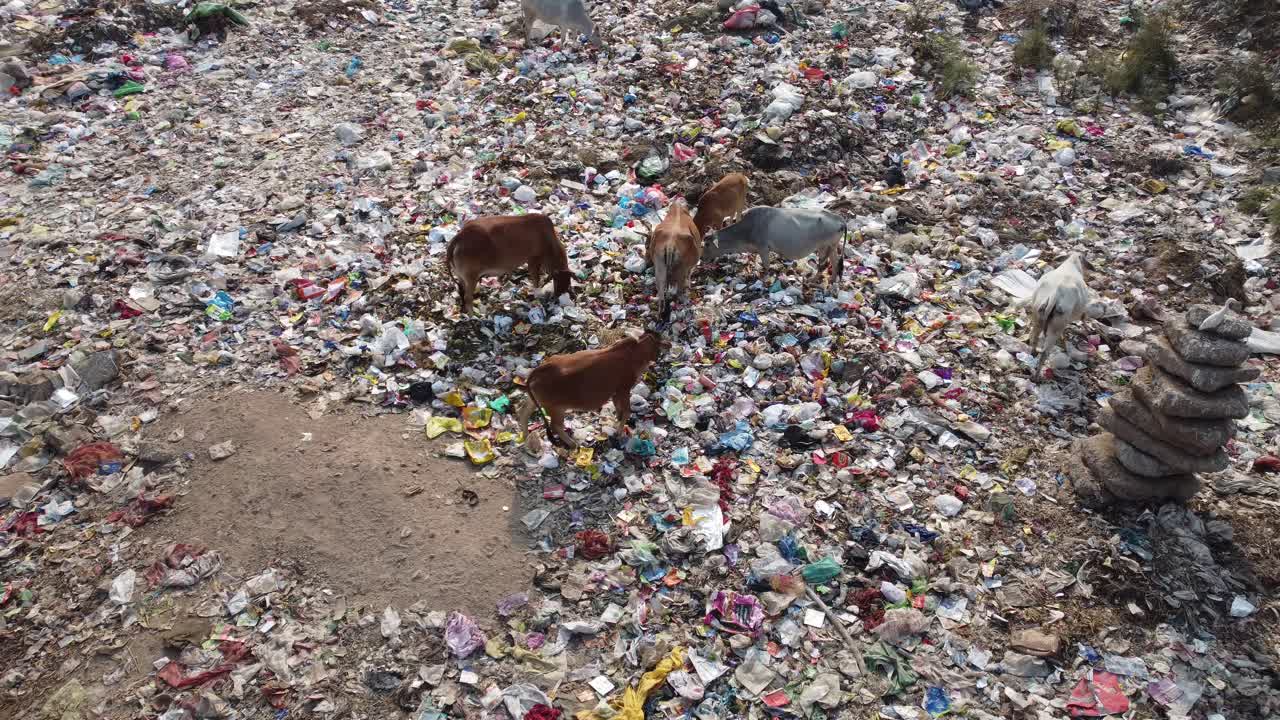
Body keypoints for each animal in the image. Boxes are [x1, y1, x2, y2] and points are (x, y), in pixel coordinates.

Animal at [516, 331, 664, 452]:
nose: (658, 357)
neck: (634, 353)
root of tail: (538, 370)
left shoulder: (616, 393)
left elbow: (620, 411)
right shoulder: (623, 389)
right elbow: (627, 411)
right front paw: (619, 432)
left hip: (537, 401)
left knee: (523, 413)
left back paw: (526, 437)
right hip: (556, 408)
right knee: (555, 426)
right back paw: (573, 444)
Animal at [702, 206, 848, 287]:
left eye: (707, 244)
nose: (702, 258)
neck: (747, 229)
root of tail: (839, 219)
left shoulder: (763, 248)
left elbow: (766, 266)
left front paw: (764, 279)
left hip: (824, 246)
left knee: (823, 264)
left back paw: (813, 280)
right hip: (832, 246)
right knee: (834, 262)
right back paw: (832, 279)